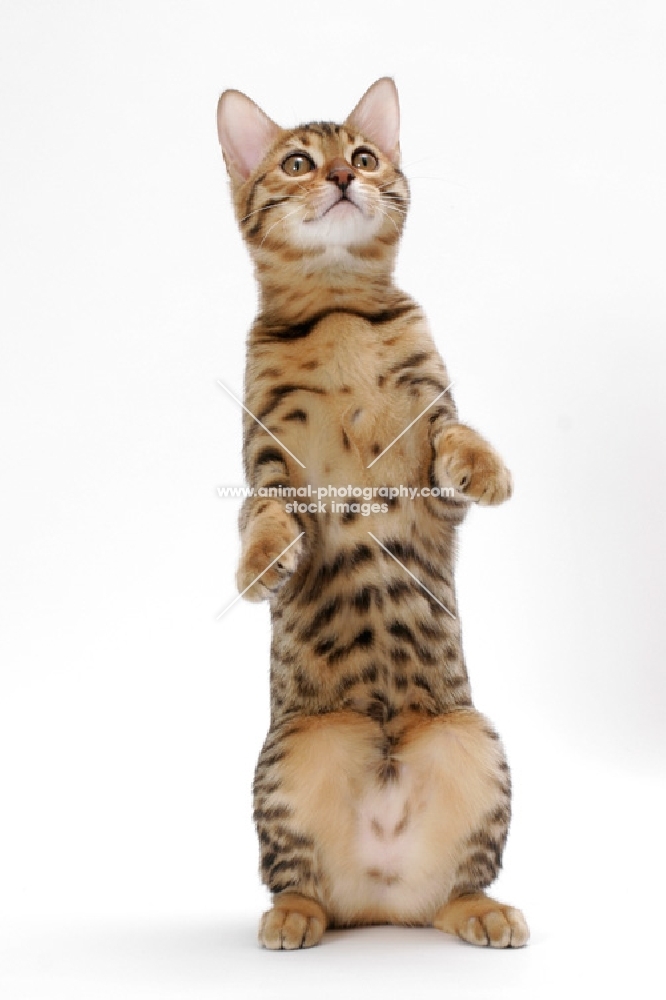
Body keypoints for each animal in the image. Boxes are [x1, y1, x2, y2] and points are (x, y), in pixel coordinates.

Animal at [215, 74, 528, 948]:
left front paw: (489, 468)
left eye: (362, 155)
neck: (339, 311)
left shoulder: (434, 430)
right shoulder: (266, 459)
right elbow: (260, 513)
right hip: (294, 751)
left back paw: (483, 911)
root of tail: (382, 897)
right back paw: (292, 917)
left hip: (471, 739)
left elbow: (456, 432)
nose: (342, 177)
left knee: (454, 888)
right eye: (296, 162)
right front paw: (261, 565)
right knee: (298, 880)